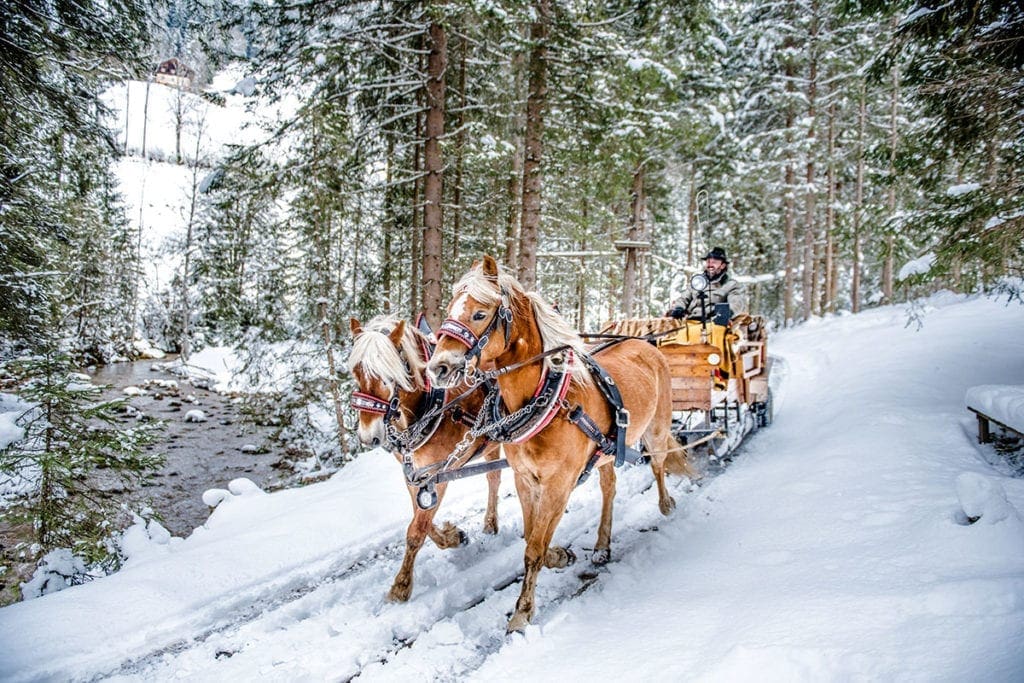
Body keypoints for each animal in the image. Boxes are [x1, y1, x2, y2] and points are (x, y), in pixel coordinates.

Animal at [346, 317, 501, 602]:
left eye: (389, 376)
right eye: (355, 372)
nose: (368, 436)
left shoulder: (440, 472)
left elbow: (416, 529)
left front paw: (401, 586)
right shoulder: (414, 473)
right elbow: (421, 520)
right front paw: (453, 536)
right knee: (494, 477)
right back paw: (490, 523)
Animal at [423, 258, 688, 634]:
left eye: (479, 313)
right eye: (449, 309)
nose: (439, 367)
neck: (542, 400)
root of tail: (646, 342)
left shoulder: (558, 484)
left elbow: (534, 547)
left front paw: (522, 612)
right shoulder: (525, 480)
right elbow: (532, 537)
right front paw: (560, 555)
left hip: (658, 426)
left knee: (659, 464)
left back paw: (666, 504)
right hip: (608, 452)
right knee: (609, 487)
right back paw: (602, 545)